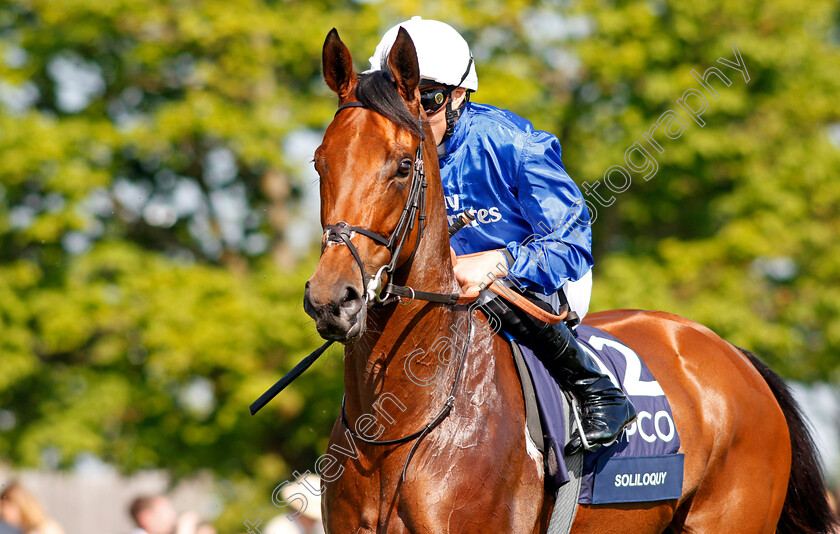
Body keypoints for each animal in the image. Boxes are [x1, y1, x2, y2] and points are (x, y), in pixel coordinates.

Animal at [300, 28, 832, 534]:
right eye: (319, 161)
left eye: (403, 165)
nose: (333, 299)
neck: (395, 429)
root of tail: (734, 357)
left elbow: (564, 238)